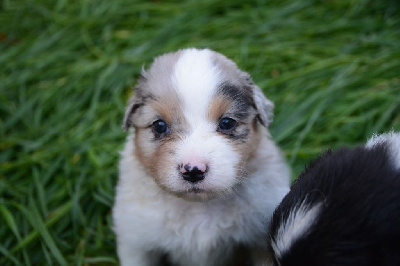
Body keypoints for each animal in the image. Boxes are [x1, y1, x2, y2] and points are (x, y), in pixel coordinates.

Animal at [112, 48, 290, 266]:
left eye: (227, 123)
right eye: (159, 125)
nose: (193, 170)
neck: (198, 207)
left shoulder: (259, 239)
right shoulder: (138, 242)